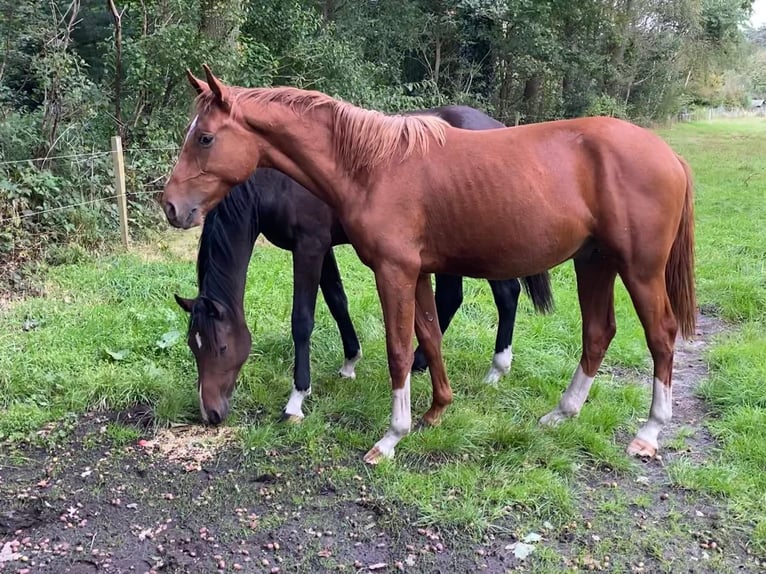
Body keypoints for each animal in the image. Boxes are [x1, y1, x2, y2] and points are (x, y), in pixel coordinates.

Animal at [160, 65, 696, 466]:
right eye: (192, 343)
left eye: (204, 138)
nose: (171, 206)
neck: (371, 166)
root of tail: (669, 155)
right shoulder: (412, 272)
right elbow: (428, 333)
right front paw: (436, 410)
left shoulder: (383, 269)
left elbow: (393, 347)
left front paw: (389, 436)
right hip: (594, 262)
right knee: (598, 332)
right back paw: (561, 413)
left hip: (640, 270)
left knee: (661, 336)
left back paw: (649, 432)